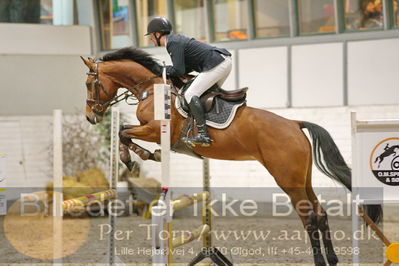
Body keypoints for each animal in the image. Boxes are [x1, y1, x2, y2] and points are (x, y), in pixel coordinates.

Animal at [80, 47, 382, 266]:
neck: (151, 88)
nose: (90, 117)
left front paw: (138, 156)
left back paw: (319, 260)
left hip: (287, 178)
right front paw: (139, 155)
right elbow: (124, 131)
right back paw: (332, 258)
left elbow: (123, 132)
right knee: (319, 212)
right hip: (302, 177)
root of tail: (294, 124)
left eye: (89, 83)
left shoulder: (156, 129)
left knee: (308, 216)